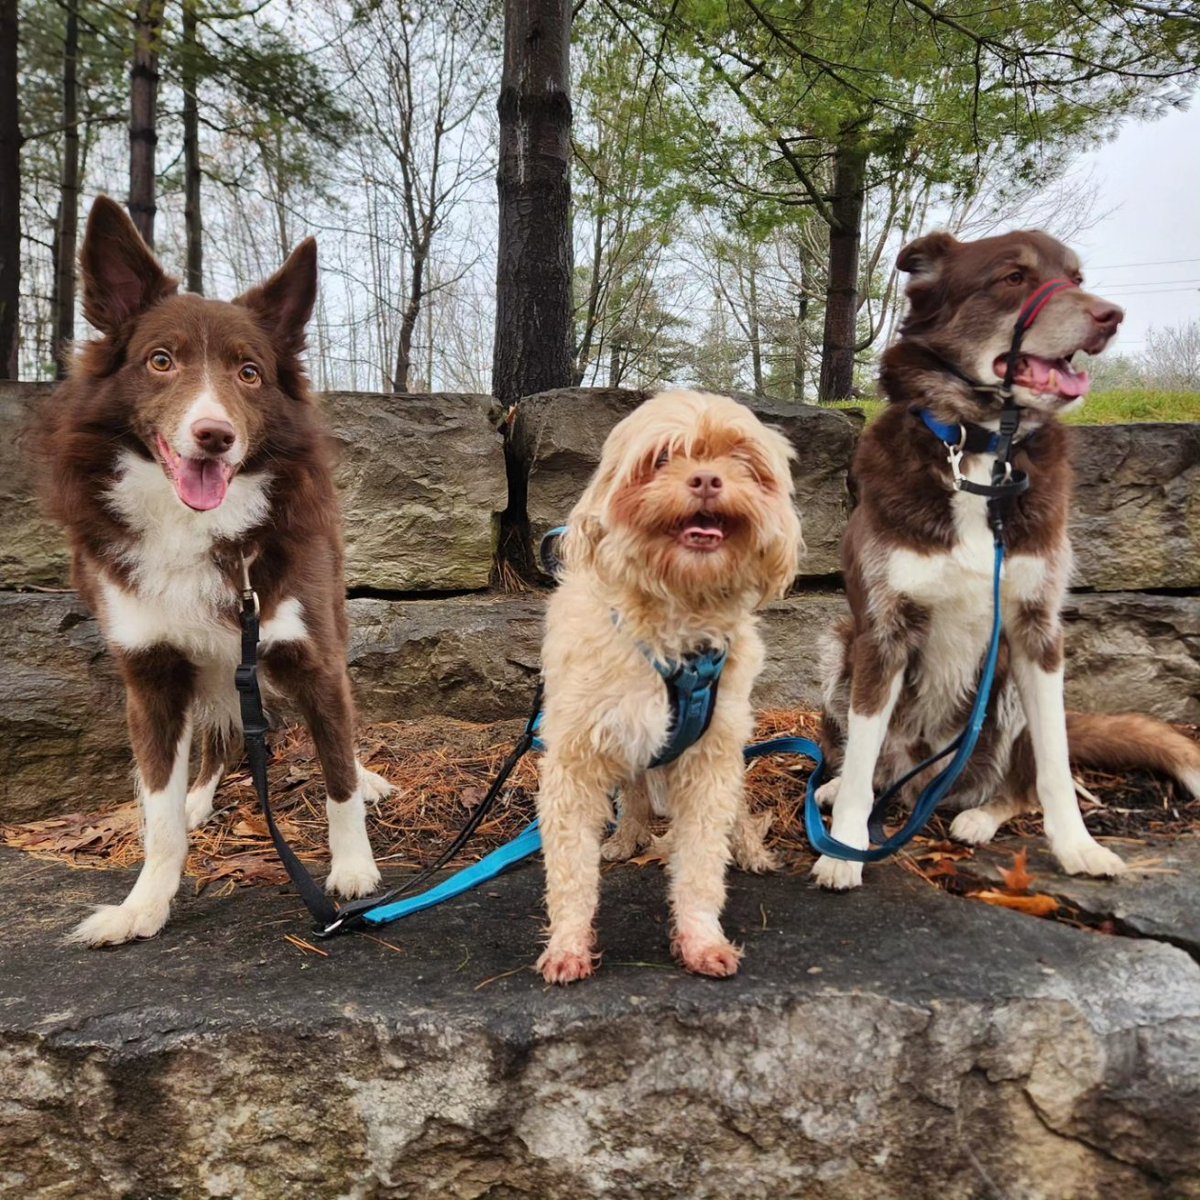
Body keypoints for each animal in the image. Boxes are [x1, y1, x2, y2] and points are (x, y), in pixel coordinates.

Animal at [41, 199, 388, 945]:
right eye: (161, 361)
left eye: (249, 372)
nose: (215, 436)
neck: (204, 534)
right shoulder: (151, 673)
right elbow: (160, 816)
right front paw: (145, 903)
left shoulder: (313, 654)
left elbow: (338, 774)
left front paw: (353, 868)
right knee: (220, 738)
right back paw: (200, 795)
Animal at [537, 391, 806, 984]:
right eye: (661, 458)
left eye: (742, 459)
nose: (706, 479)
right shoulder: (577, 758)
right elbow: (570, 868)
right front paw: (568, 943)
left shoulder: (711, 759)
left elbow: (703, 862)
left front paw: (701, 940)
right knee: (635, 791)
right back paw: (626, 836)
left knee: (735, 813)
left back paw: (749, 850)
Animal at [811, 234, 1195, 892]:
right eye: (1014, 277)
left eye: (1077, 277)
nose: (1111, 316)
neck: (980, 444)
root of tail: (927, 786)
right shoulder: (881, 633)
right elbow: (861, 758)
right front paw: (844, 848)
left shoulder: (1038, 631)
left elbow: (1056, 765)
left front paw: (1077, 846)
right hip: (840, 649)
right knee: (872, 767)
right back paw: (838, 792)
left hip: (1009, 680)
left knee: (1018, 785)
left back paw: (982, 817)